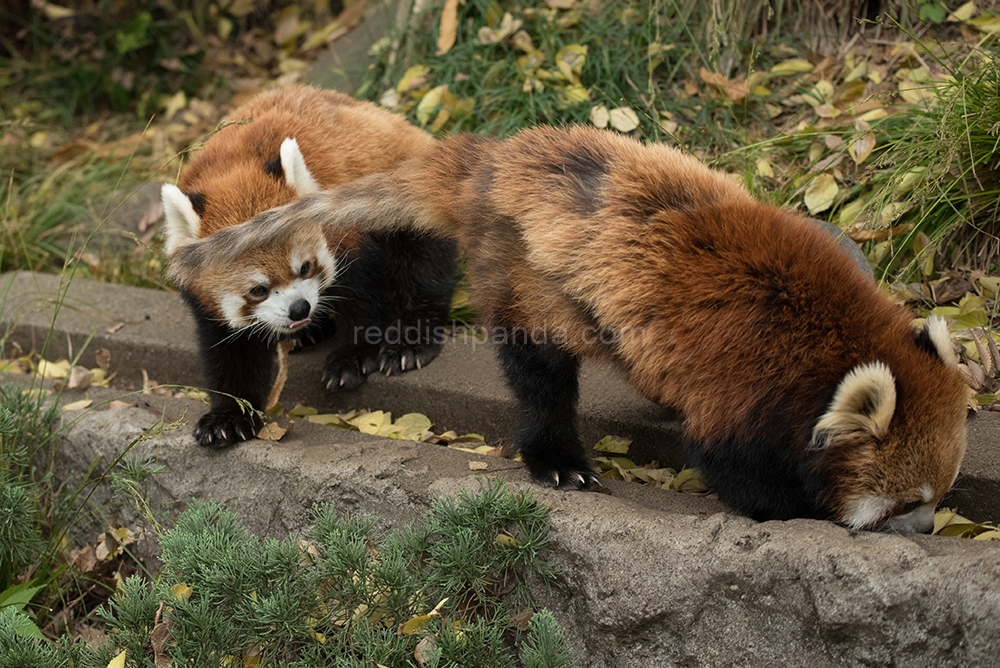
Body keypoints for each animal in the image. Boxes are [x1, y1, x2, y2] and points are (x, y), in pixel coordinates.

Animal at [163, 85, 458, 448]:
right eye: (258, 290)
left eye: (304, 268)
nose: (299, 309)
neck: (233, 164)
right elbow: (229, 351)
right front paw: (228, 417)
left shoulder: (348, 232)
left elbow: (365, 295)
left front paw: (352, 359)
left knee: (421, 266)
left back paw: (409, 341)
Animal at [172, 125, 968, 532]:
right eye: (910, 501)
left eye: (940, 497)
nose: (928, 530)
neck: (828, 336)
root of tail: (489, 157)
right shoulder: (742, 383)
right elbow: (732, 463)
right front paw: (799, 508)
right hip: (525, 275)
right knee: (540, 376)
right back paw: (556, 457)